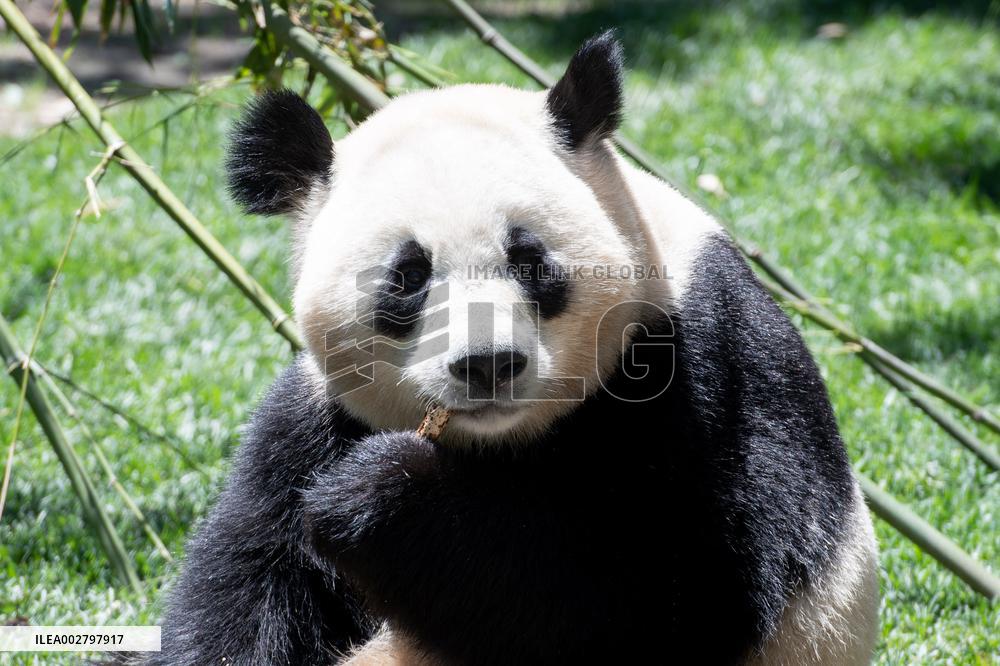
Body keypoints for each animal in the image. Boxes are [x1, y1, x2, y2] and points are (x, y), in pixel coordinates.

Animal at [154, 32, 879, 665]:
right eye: (408, 276)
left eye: (529, 261)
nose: (488, 364)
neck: (495, 444)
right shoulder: (310, 421)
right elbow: (248, 580)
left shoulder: (701, 374)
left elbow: (656, 595)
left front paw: (379, 494)